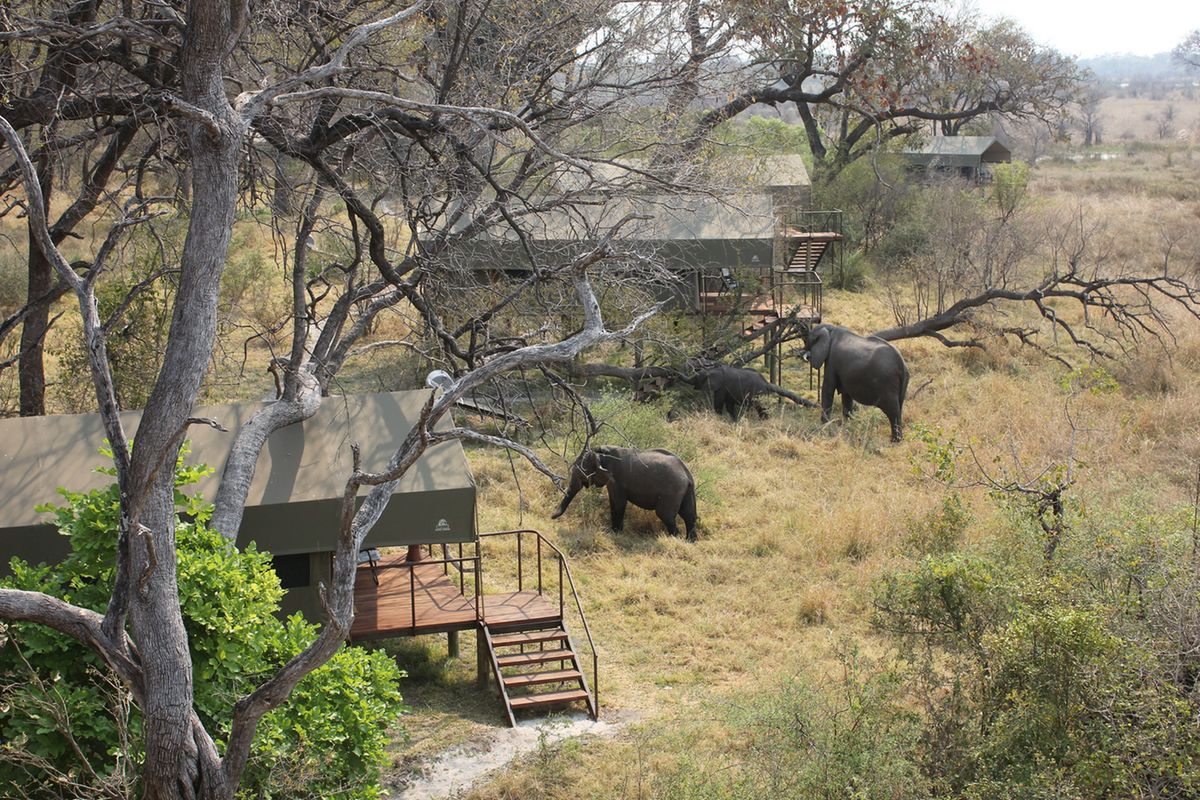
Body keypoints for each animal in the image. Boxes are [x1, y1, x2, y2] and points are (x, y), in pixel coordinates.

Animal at [550, 445, 697, 541]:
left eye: (581, 471)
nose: (551, 517)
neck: (600, 452)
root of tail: (687, 475)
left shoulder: (615, 480)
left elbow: (618, 503)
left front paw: (613, 533)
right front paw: (618, 532)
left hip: (672, 491)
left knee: (665, 514)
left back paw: (675, 539)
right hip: (686, 490)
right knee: (689, 515)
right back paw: (690, 541)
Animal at [684, 364, 816, 420]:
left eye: (696, 378)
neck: (713, 370)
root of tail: (766, 383)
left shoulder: (722, 387)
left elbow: (719, 403)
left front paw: (718, 418)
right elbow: (729, 406)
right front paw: (734, 421)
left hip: (758, 394)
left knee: (762, 408)